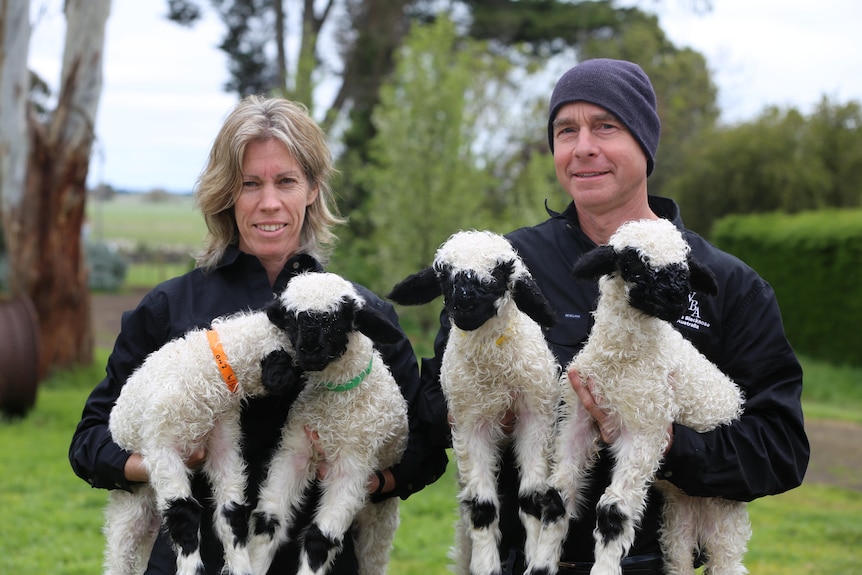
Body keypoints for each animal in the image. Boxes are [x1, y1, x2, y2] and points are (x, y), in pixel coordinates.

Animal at [105, 308, 300, 572]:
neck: (209, 369)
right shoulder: (162, 449)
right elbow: (183, 511)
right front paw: (191, 568)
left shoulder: (223, 444)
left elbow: (231, 512)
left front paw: (241, 567)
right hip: (129, 512)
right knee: (118, 559)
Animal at [250, 272, 412, 575]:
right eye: (290, 320)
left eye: (337, 321)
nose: (309, 350)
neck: (332, 408)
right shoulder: (296, 451)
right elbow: (268, 521)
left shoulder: (352, 466)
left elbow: (320, 540)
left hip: (379, 522)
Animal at [388, 230, 564, 575]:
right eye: (444, 276)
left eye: (499, 275)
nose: (464, 305)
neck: (494, 371)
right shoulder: (469, 423)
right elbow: (482, 507)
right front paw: (486, 567)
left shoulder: (533, 418)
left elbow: (532, 499)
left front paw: (535, 557)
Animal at [536, 219, 752, 575]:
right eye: (633, 264)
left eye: (684, 268)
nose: (677, 296)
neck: (622, 360)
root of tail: (737, 400)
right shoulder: (579, 419)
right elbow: (556, 496)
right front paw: (539, 565)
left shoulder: (646, 429)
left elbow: (613, 511)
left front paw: (604, 568)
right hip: (679, 515)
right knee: (679, 557)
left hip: (725, 513)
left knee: (727, 562)